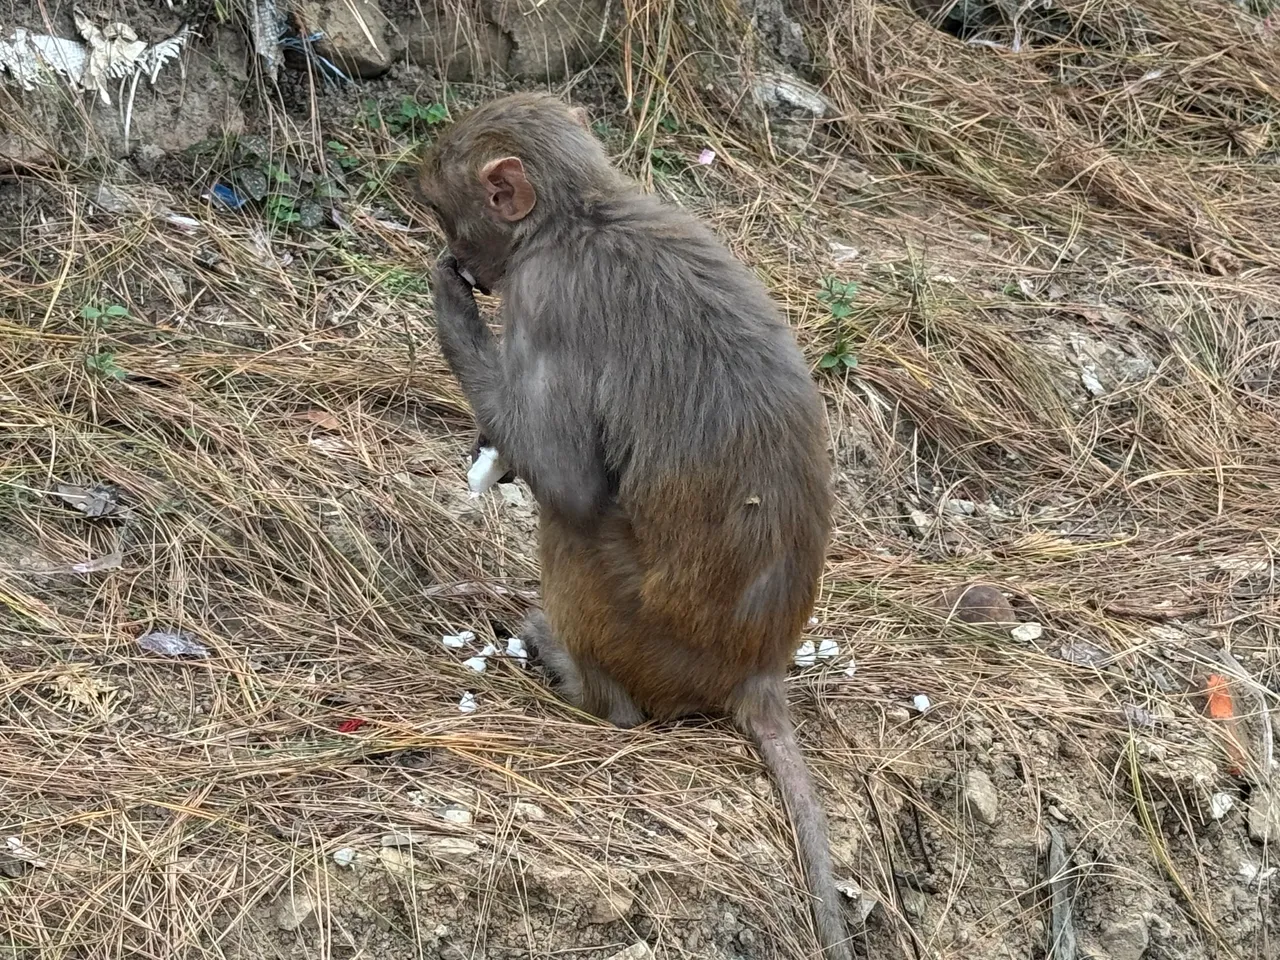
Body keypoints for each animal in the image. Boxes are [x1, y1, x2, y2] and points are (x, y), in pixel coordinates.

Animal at [418, 93, 848, 958]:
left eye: (450, 218)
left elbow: (569, 481)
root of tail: (759, 669)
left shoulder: (546, 295)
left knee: (572, 528)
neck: (582, 216)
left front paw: (452, 309)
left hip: (643, 633)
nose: (465, 265)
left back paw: (580, 681)